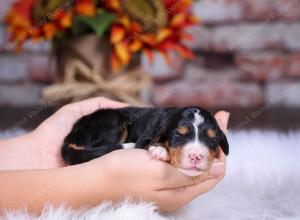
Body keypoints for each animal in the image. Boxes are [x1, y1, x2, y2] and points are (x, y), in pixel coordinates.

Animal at [62, 106, 229, 177]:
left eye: (213, 139)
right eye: (178, 135)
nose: (196, 156)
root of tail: (71, 135)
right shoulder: (144, 137)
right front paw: (161, 150)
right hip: (113, 120)